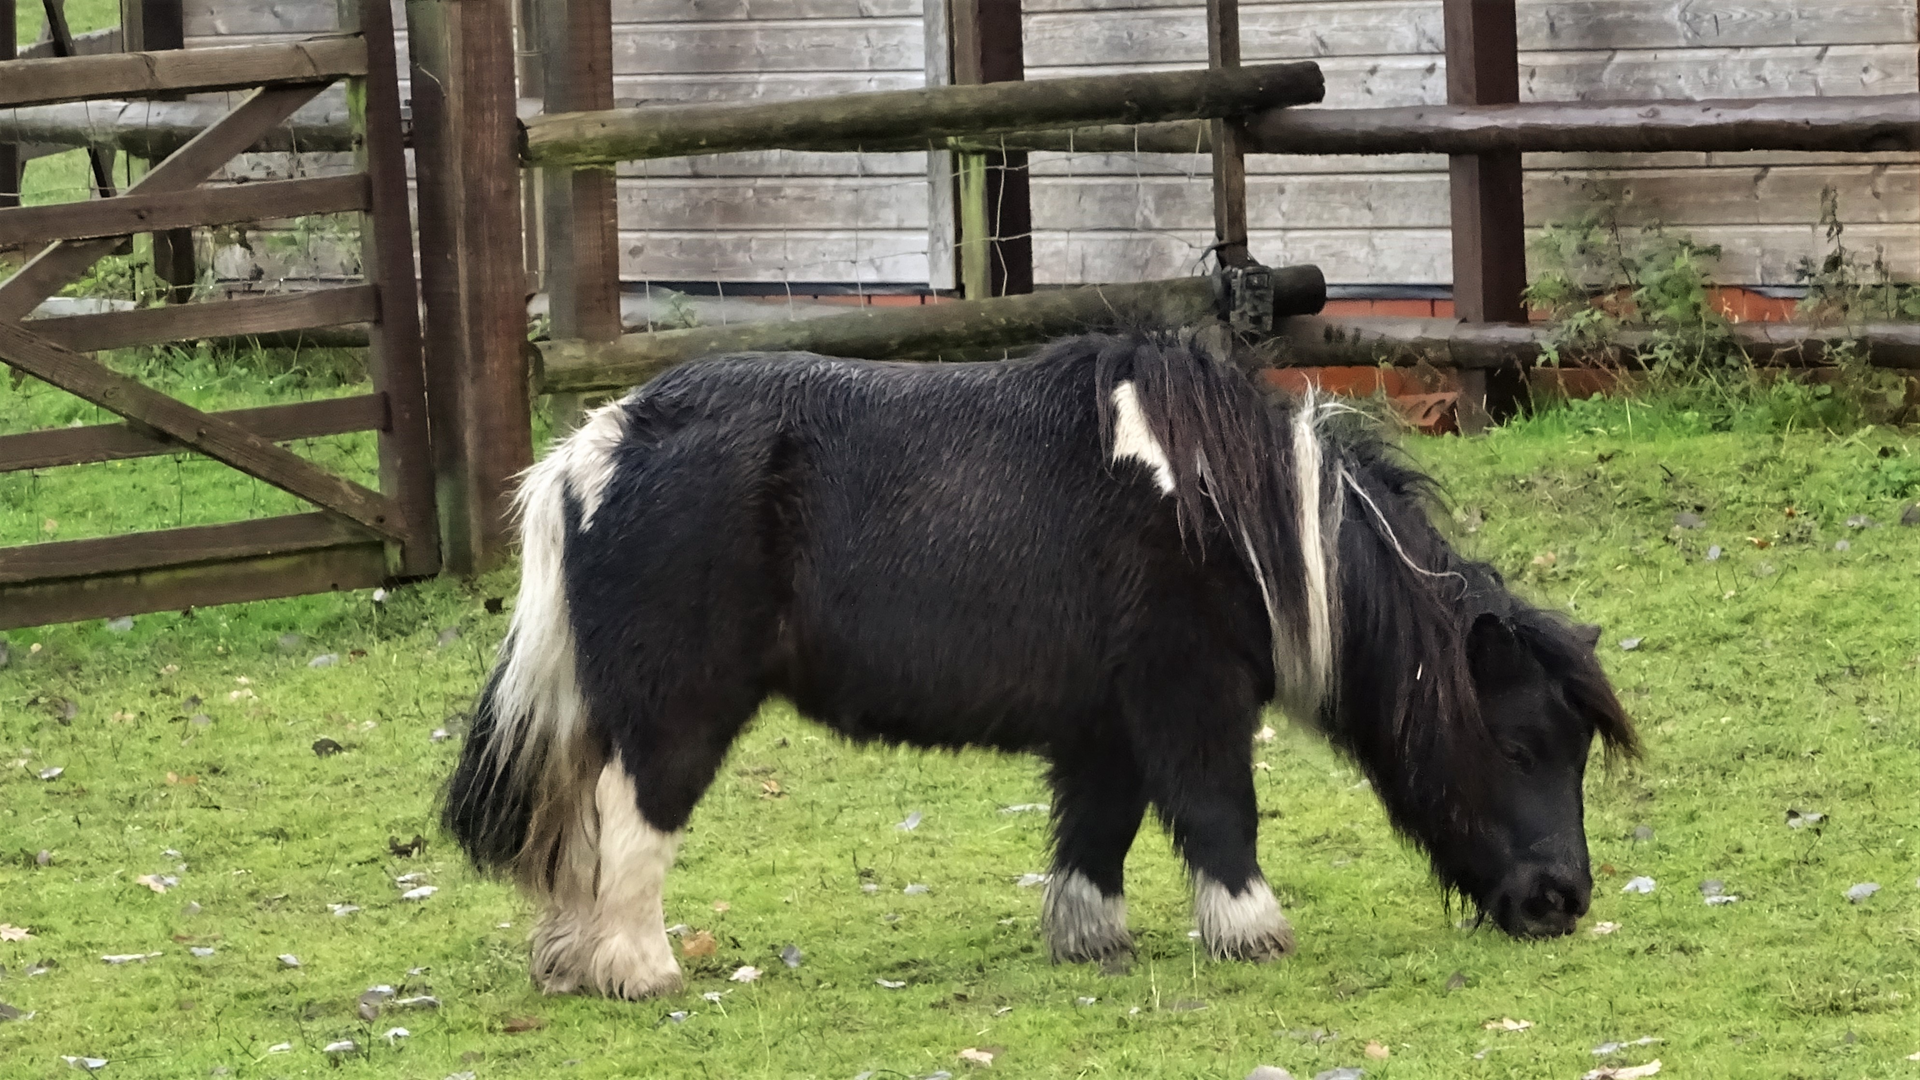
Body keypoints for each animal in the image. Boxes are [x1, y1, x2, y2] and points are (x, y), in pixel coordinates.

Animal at [443, 329, 1637, 1000]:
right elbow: (1219, 815)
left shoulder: (1106, 722)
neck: (1240, 515)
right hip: (673, 711)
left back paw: (572, 964)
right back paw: (638, 971)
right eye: (1522, 744)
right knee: (628, 820)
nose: (1561, 901)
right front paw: (1252, 932)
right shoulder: (1189, 700)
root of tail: (595, 448)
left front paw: (1090, 940)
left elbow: (1097, 833)